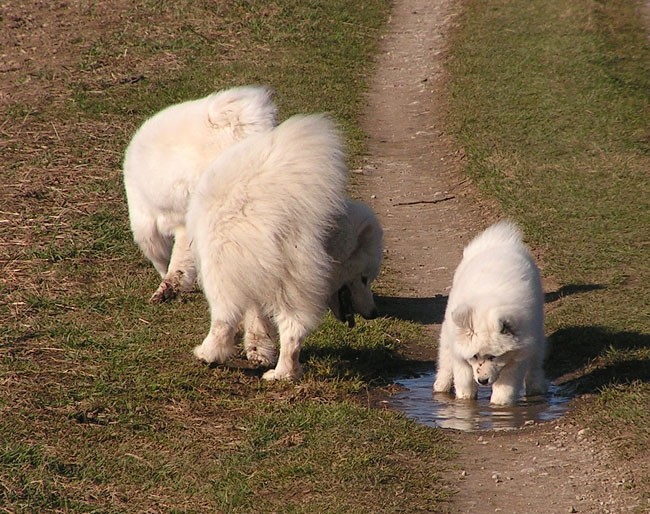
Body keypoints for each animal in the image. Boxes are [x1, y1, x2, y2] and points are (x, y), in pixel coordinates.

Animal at [185, 115, 382, 380]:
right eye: (364, 278)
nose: (374, 313)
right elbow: (257, 316)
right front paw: (259, 349)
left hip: (220, 271)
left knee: (223, 318)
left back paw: (208, 354)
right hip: (290, 285)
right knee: (293, 332)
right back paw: (284, 373)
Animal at [432, 220, 544, 404]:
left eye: (493, 357)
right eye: (475, 356)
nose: (483, 380)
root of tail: (498, 241)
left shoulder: (516, 358)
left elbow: (504, 390)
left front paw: (499, 405)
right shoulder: (462, 359)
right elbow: (465, 387)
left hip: (537, 333)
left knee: (536, 361)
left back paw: (536, 386)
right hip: (449, 331)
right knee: (445, 358)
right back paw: (441, 385)